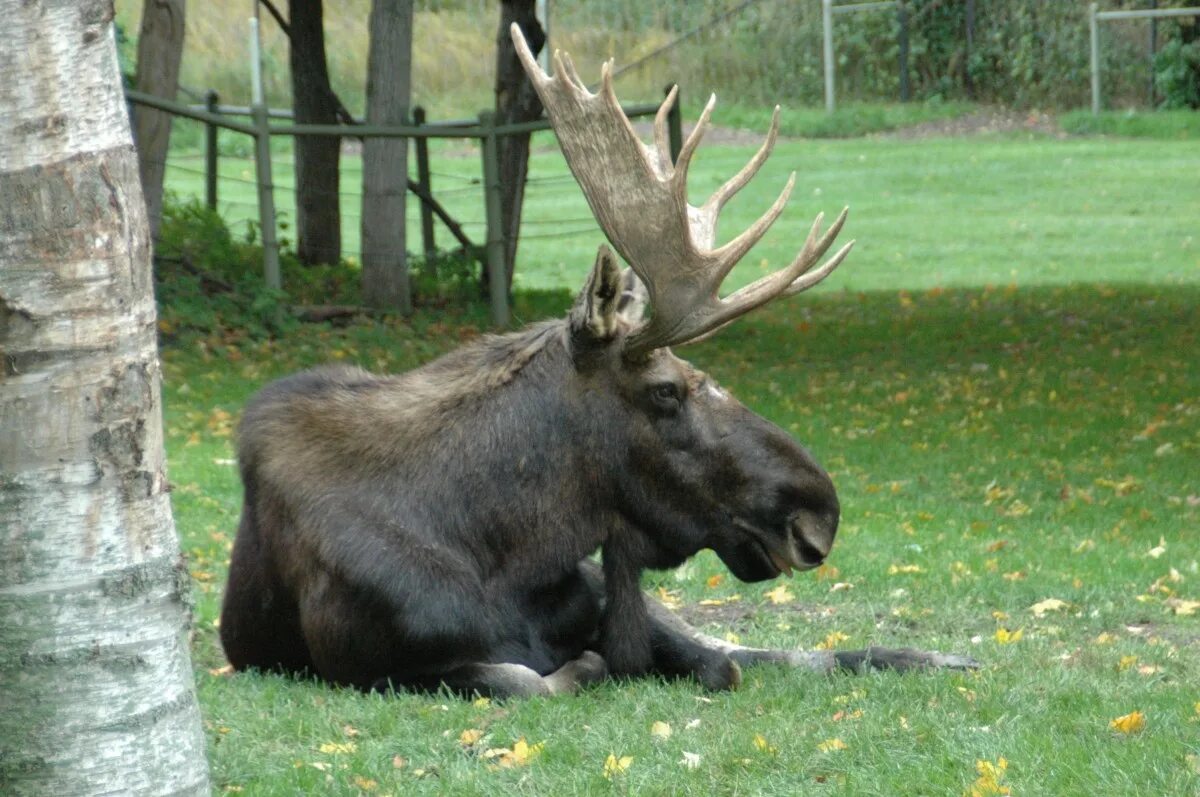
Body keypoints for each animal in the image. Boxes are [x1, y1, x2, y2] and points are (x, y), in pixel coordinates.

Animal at [220, 26, 974, 696]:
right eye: (667, 389)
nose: (818, 510)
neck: (503, 549)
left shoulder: (600, 595)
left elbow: (720, 662)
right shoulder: (369, 665)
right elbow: (532, 678)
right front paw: (585, 667)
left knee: (761, 649)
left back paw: (935, 655)